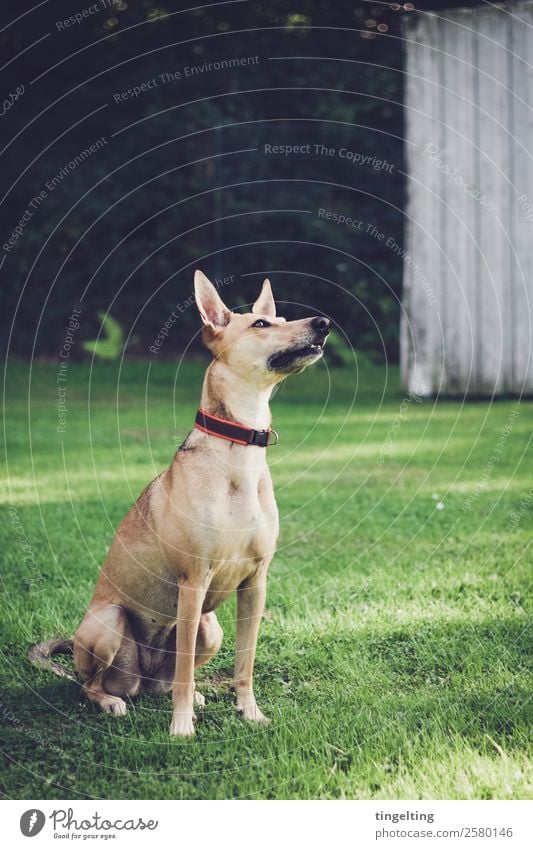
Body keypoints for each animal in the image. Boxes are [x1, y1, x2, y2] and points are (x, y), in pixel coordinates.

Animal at [30, 272, 328, 736]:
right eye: (261, 324)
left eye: (278, 319)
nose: (324, 322)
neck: (238, 452)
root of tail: (138, 678)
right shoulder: (194, 582)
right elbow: (187, 671)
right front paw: (182, 728)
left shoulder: (255, 583)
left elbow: (245, 664)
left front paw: (250, 712)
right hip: (110, 624)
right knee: (92, 684)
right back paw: (110, 700)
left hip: (210, 627)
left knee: (164, 682)